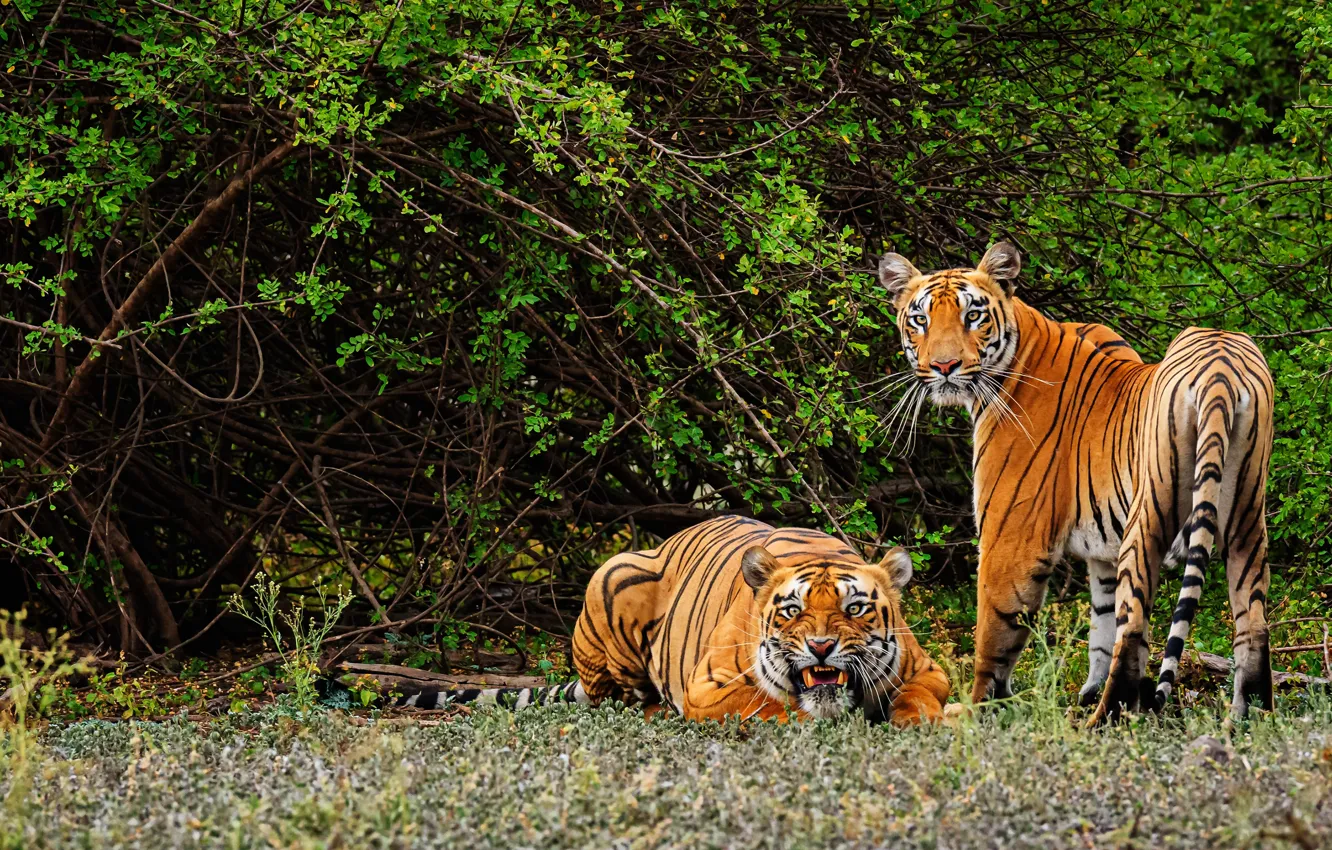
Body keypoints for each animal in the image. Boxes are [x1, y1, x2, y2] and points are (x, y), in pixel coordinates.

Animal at [396, 515, 950, 726]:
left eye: (854, 608)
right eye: (793, 611)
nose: (819, 648)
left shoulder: (930, 671)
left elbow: (920, 697)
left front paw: (924, 719)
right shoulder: (709, 687)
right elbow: (771, 706)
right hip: (613, 574)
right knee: (618, 697)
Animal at [877, 242, 1275, 724]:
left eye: (973, 315)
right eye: (920, 319)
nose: (944, 365)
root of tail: (1221, 368)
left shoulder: (1011, 539)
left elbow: (995, 632)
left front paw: (977, 709)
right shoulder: (1102, 554)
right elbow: (1100, 628)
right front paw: (1085, 691)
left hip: (1149, 517)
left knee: (1134, 630)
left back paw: (1104, 719)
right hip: (1247, 519)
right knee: (1252, 624)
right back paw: (1249, 718)